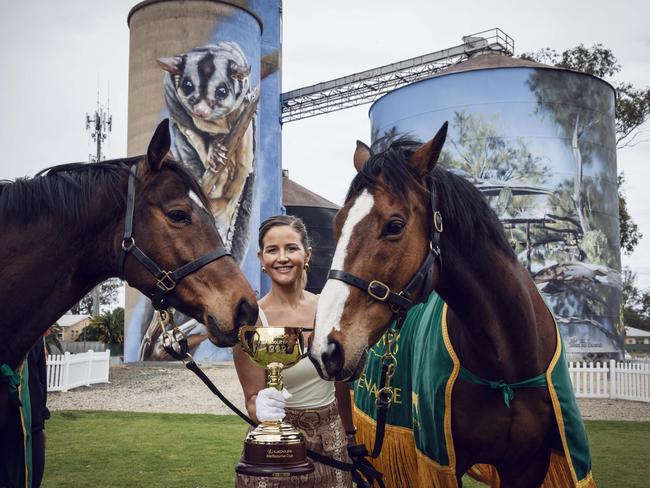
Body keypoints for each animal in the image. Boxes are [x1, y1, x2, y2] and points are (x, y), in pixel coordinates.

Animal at [308, 124, 592, 486]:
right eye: (337, 224)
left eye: (395, 225)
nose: (325, 347)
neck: (507, 367)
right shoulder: (439, 463)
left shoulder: (527, 466)